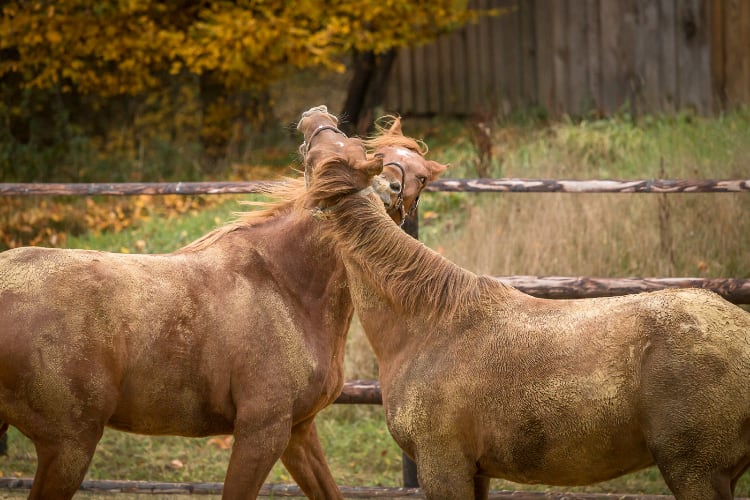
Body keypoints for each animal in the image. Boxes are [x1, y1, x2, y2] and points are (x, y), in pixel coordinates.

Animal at [0, 103, 440, 498]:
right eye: (371, 156)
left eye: (419, 175)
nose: (315, 116)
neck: (287, 285)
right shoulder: (261, 432)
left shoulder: (297, 431)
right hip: (70, 445)